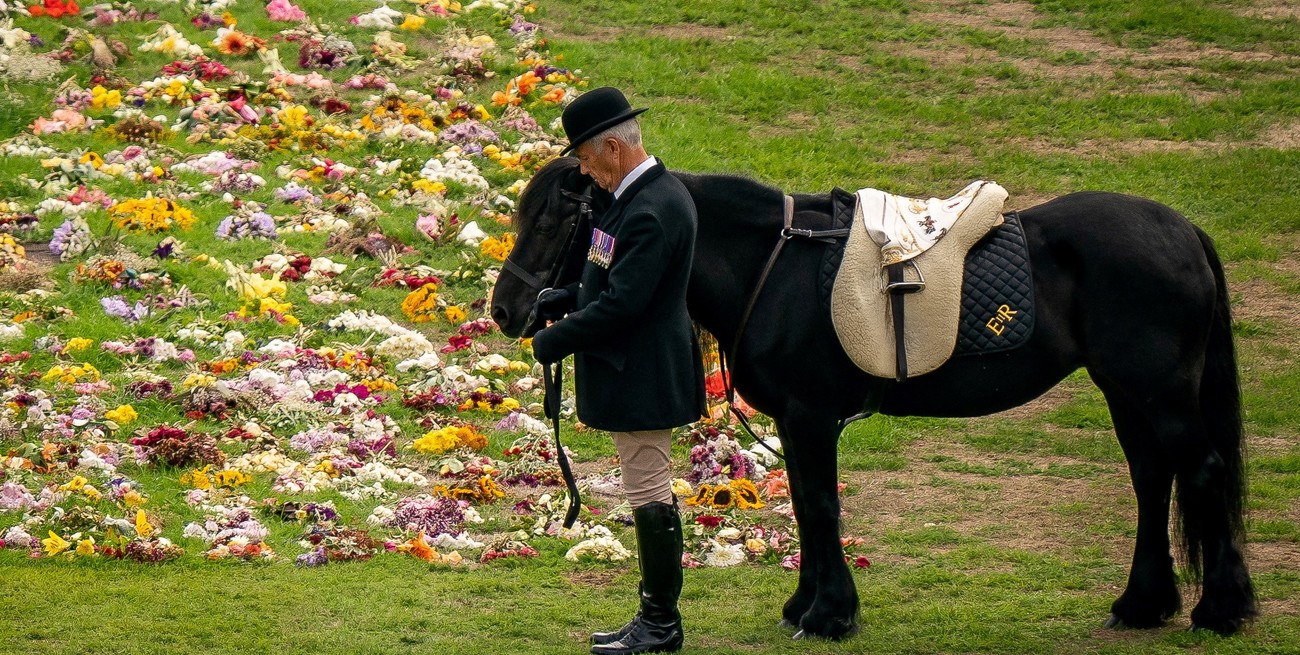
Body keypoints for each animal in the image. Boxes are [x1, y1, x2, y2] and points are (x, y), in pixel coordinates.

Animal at [490, 157, 1256, 640]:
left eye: (554, 221)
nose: (506, 311)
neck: (775, 264)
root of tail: (1183, 231)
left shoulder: (809, 415)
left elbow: (821, 506)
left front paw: (829, 614)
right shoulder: (796, 421)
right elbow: (807, 506)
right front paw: (806, 605)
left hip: (1157, 392)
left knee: (1201, 471)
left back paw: (1221, 608)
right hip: (1127, 391)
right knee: (1154, 479)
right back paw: (1144, 602)